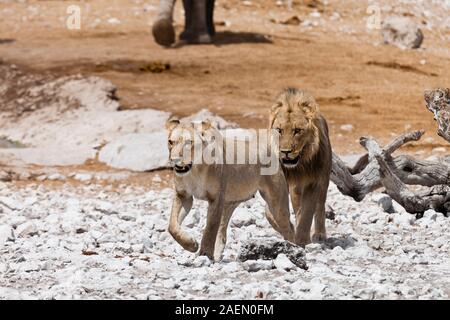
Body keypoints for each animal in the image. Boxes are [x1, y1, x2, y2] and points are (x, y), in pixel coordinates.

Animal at [165, 117, 296, 260]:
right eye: (170, 142)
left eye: (189, 142)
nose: (174, 159)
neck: (195, 169)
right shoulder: (183, 196)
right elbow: (172, 226)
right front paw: (191, 245)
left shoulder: (216, 199)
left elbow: (210, 228)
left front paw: (205, 253)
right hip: (234, 205)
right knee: (222, 233)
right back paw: (217, 255)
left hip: (276, 206)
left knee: (289, 227)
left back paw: (293, 249)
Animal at [268, 87, 332, 245]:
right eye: (279, 130)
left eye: (297, 131)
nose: (285, 152)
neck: (298, 166)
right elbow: (270, 213)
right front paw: (288, 230)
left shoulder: (314, 182)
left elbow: (308, 212)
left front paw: (302, 240)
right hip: (295, 189)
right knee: (297, 208)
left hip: (324, 179)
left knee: (320, 206)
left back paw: (319, 234)